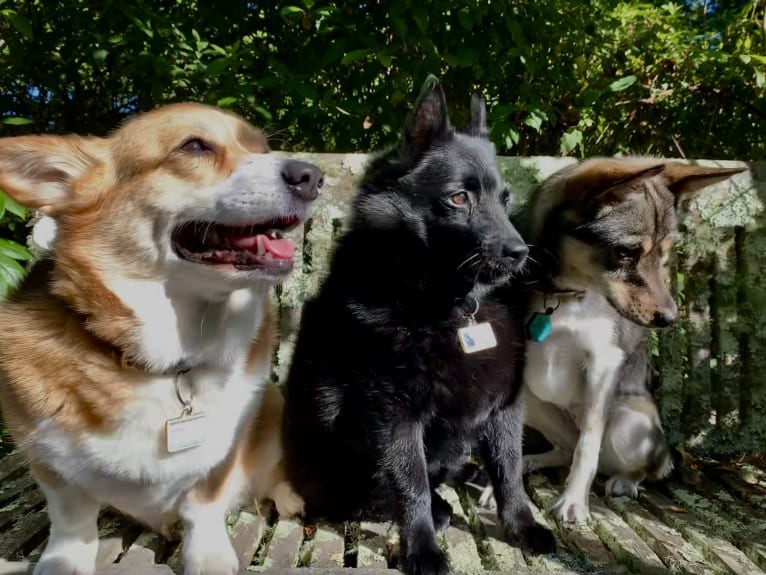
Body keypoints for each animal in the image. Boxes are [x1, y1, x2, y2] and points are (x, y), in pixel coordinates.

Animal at [0, 104, 320, 575]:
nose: (313, 176)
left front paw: (208, 555)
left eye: (261, 148)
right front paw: (63, 563)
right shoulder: (50, 464)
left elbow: (204, 504)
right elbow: (72, 523)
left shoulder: (223, 451)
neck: (170, 361)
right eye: (194, 146)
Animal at [284, 76, 556, 575]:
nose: (519, 253)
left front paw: (522, 527)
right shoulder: (395, 415)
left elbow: (510, 472)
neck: (452, 308)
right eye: (458, 197)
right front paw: (423, 550)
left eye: (504, 199)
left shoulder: (506, 406)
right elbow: (410, 485)